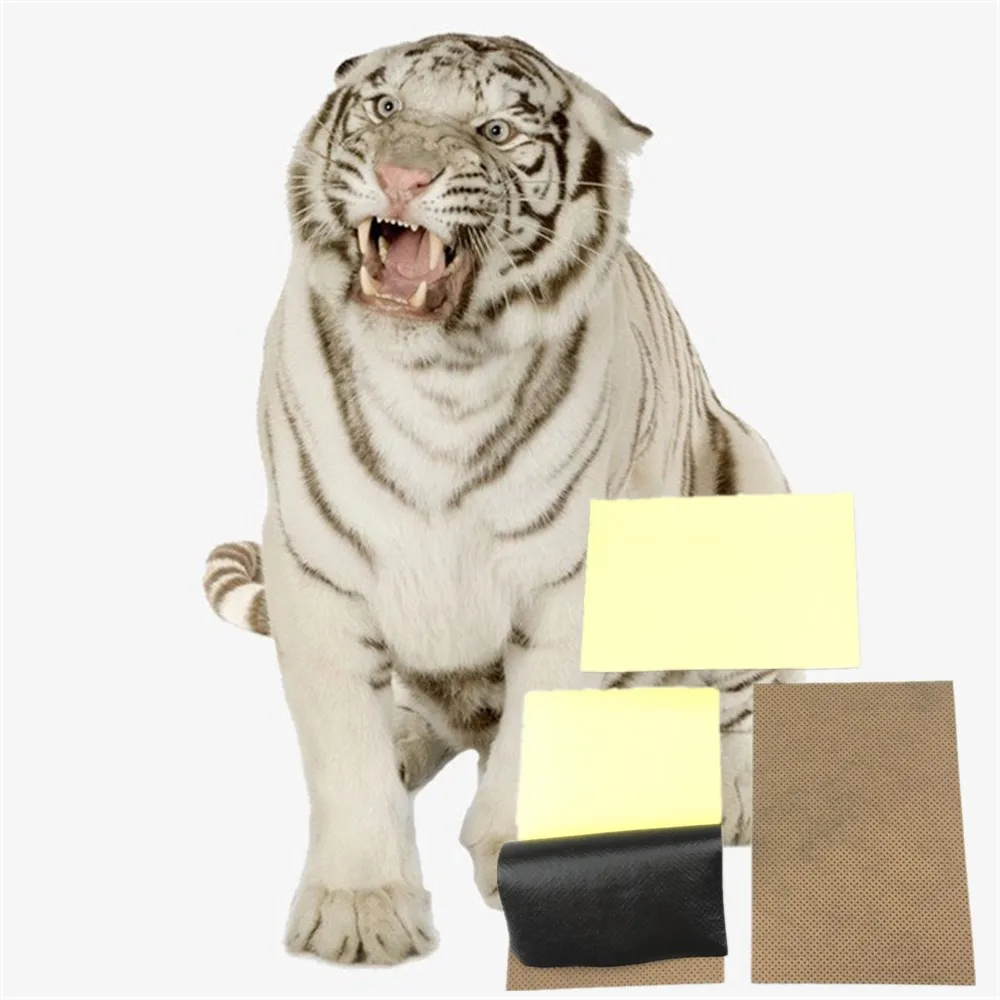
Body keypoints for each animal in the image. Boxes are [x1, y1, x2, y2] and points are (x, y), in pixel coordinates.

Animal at [202, 33, 798, 966]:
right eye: (385, 107)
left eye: (495, 130)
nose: (401, 175)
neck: (437, 375)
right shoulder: (316, 570)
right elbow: (345, 752)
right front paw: (362, 911)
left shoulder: (575, 576)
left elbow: (540, 721)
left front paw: (518, 854)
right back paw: (409, 741)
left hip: (751, 481)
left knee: (744, 697)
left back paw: (735, 794)